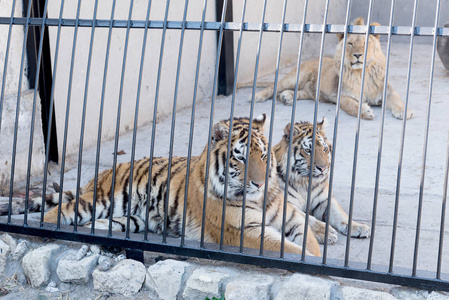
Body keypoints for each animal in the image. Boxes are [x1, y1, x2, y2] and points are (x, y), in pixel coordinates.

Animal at [21, 114, 322, 255]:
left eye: (263, 155)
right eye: (240, 157)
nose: (259, 184)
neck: (259, 199)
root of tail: (99, 175)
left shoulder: (292, 217)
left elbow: (310, 243)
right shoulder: (242, 231)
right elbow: (290, 249)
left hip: (130, 219)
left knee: (98, 225)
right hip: (100, 200)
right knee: (59, 212)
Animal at [250, 17, 412, 119]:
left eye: (365, 43)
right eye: (350, 44)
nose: (358, 55)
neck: (362, 73)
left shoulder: (387, 90)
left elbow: (397, 99)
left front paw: (404, 111)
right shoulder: (341, 95)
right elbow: (351, 105)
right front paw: (365, 111)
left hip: (311, 91)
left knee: (299, 92)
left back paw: (286, 97)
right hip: (295, 77)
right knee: (274, 86)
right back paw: (257, 96)